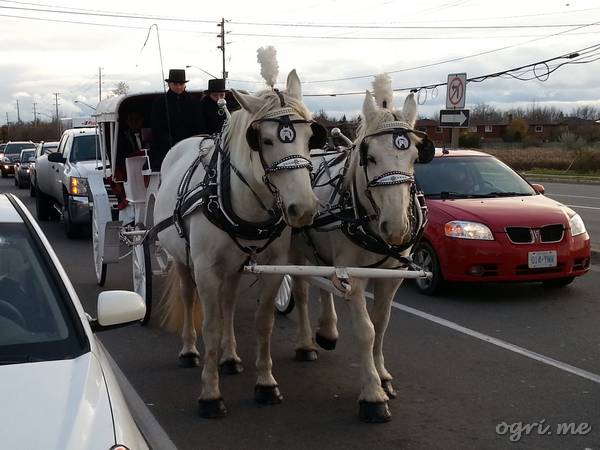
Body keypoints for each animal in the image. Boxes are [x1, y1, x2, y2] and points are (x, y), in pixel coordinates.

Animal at [155, 69, 324, 418]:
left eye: (309, 138)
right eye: (265, 140)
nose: (303, 209)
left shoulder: (274, 266)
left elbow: (263, 322)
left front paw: (266, 384)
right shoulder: (206, 270)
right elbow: (211, 327)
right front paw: (210, 395)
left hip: (233, 266)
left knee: (229, 304)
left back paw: (230, 358)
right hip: (182, 260)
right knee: (189, 299)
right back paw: (189, 351)